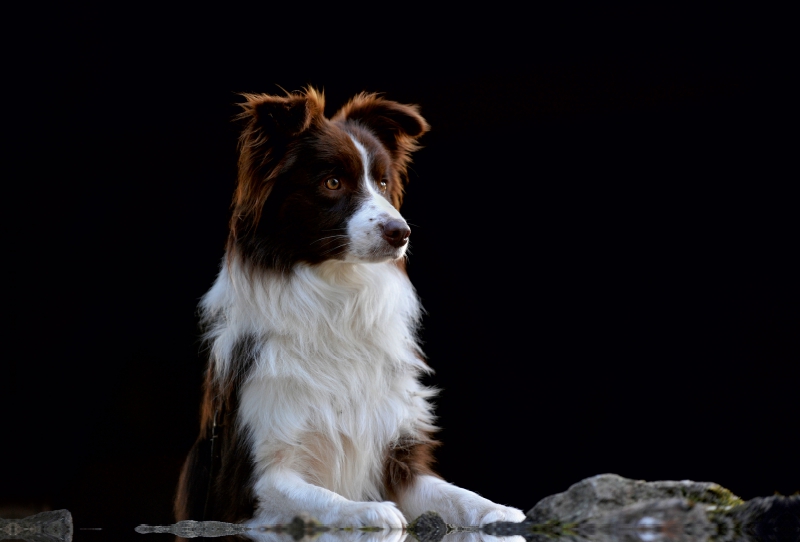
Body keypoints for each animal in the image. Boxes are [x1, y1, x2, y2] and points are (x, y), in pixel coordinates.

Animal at [175, 89, 524, 532]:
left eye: (383, 183)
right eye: (332, 182)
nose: (401, 232)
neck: (338, 295)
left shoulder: (398, 454)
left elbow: (454, 494)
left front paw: (500, 510)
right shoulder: (249, 479)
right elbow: (321, 498)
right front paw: (367, 510)